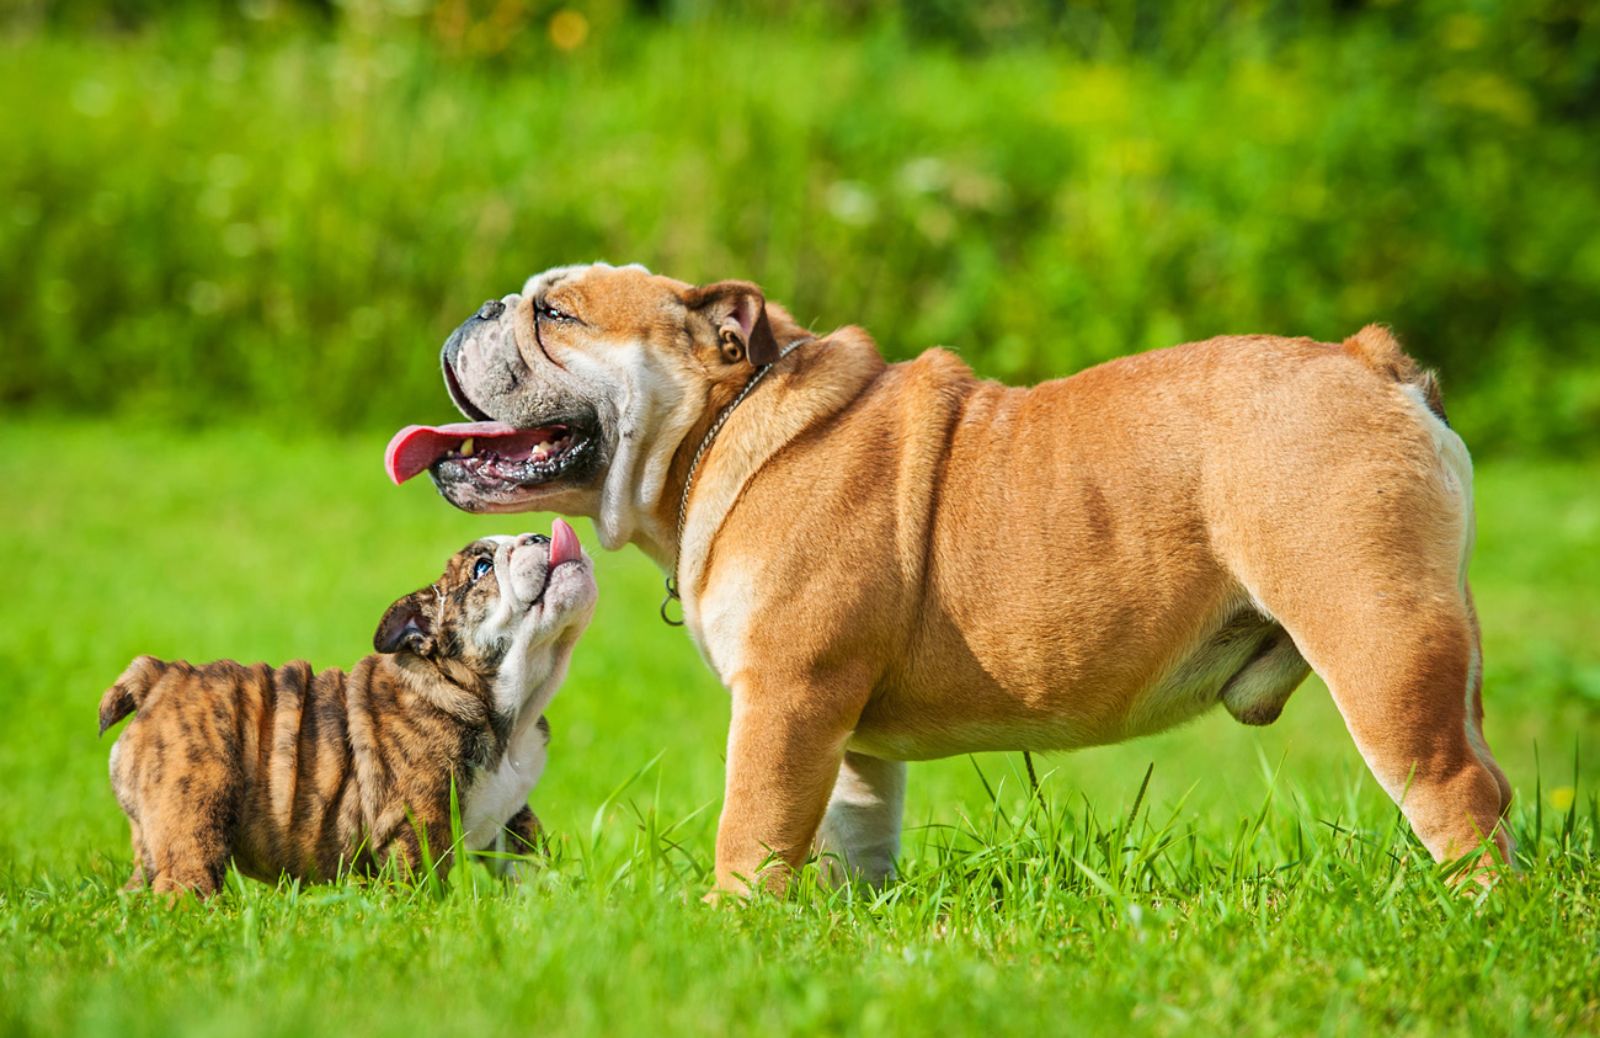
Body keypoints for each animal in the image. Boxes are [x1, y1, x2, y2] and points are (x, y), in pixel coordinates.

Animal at [101, 521, 601, 895]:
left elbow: (531, 859)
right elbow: (423, 882)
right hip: (195, 811)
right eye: (481, 568)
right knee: (185, 881)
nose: (540, 536)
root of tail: (161, 676)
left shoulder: (512, 819)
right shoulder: (417, 821)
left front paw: (554, 901)